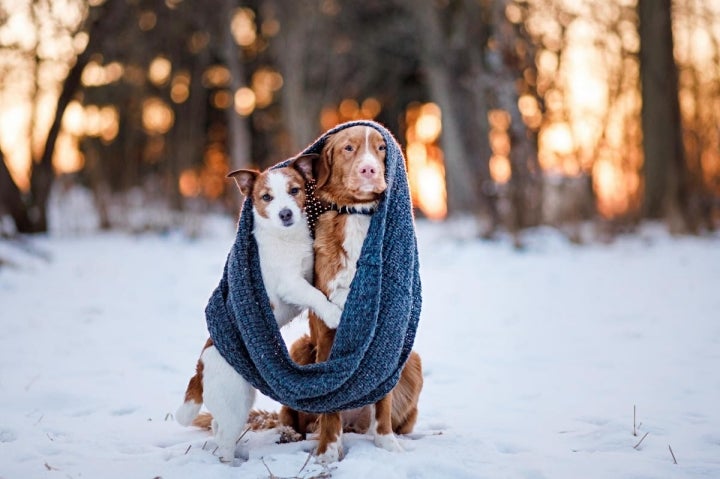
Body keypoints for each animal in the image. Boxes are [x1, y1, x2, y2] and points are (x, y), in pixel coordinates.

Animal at [176, 156, 342, 464]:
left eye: (294, 190)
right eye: (266, 197)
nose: (286, 214)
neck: (286, 239)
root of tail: (201, 366)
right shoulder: (291, 284)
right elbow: (314, 294)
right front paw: (333, 312)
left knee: (217, 428)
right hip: (235, 403)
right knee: (224, 441)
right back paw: (231, 463)